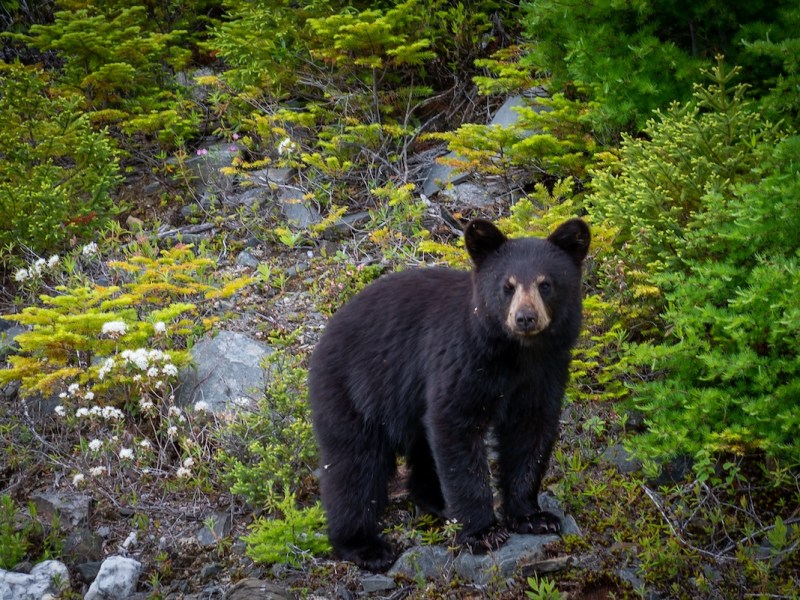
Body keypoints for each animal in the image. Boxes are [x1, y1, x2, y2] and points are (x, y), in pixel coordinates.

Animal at [308, 217, 590, 572]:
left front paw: (533, 516)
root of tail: (325, 334)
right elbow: (455, 427)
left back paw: (437, 502)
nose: (525, 318)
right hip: (354, 390)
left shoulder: (545, 372)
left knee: (421, 448)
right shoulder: (462, 360)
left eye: (545, 284)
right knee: (354, 465)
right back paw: (364, 545)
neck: (516, 354)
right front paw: (483, 532)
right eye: (508, 286)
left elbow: (530, 433)